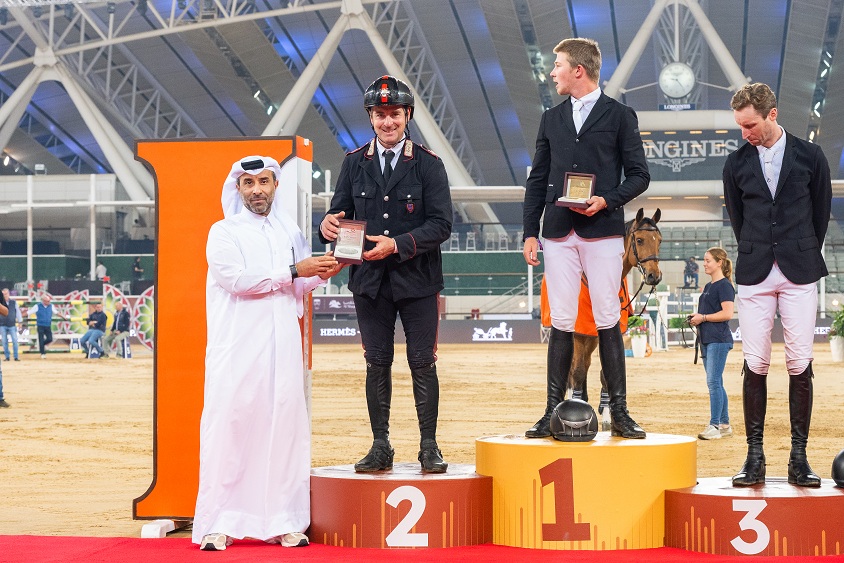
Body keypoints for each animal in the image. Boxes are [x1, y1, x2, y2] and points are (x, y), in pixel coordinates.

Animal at [566, 208, 663, 427]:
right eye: (639, 240)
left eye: (659, 240)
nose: (654, 276)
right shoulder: (579, 333)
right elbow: (577, 371)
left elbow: (606, 373)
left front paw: (607, 416)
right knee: (576, 370)